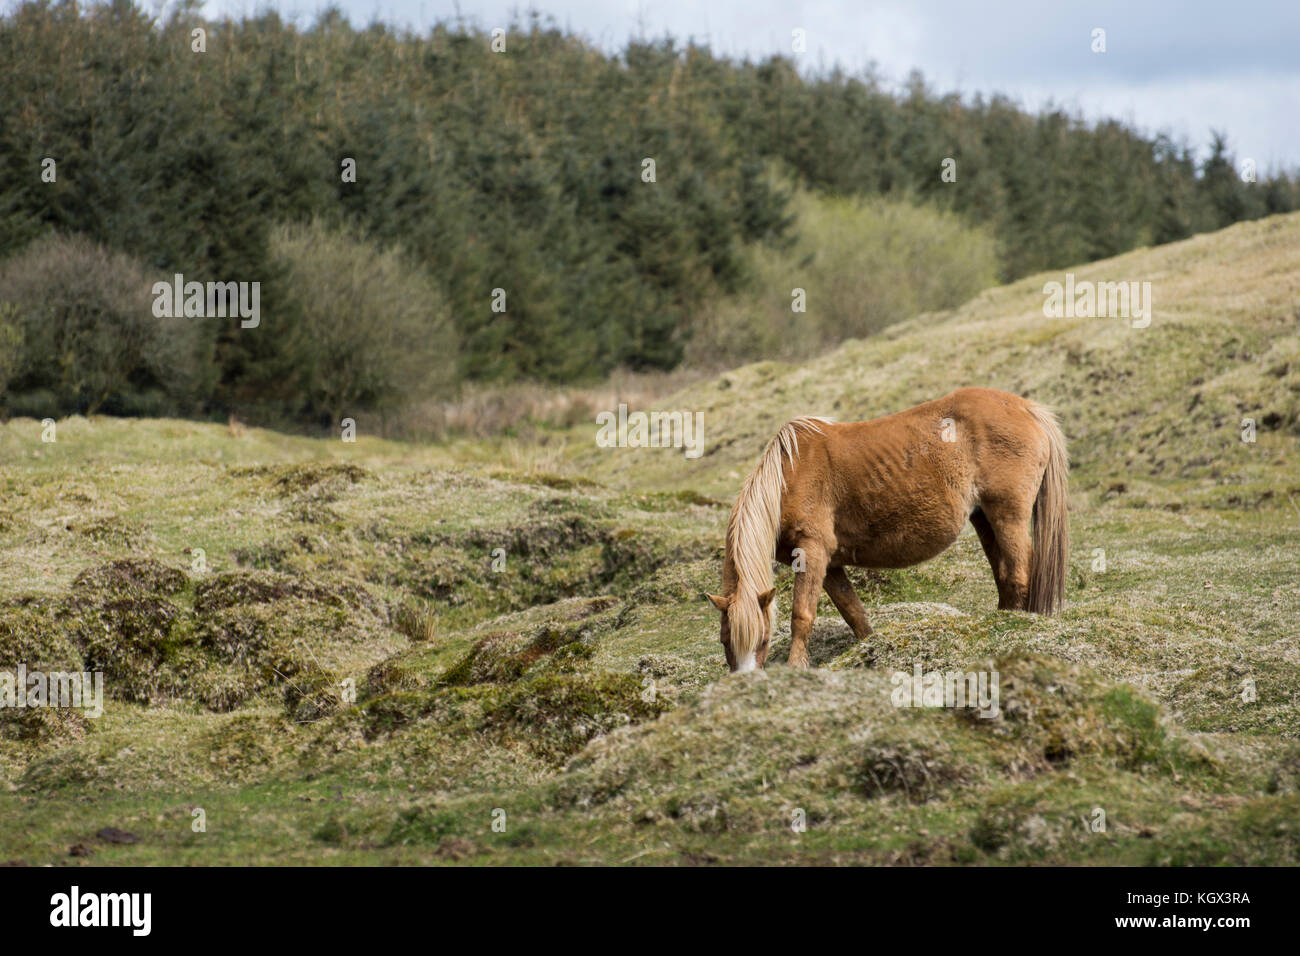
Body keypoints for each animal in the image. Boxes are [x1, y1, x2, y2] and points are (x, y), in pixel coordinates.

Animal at [712, 390, 1066, 671]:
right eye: (725, 641)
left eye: (763, 640)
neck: (789, 478)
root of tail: (1026, 408)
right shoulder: (831, 564)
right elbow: (853, 612)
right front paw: (871, 649)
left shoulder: (811, 552)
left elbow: (802, 615)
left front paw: (796, 667)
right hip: (984, 519)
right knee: (1005, 573)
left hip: (1008, 514)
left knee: (1019, 571)